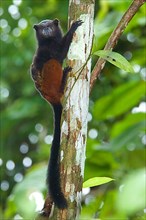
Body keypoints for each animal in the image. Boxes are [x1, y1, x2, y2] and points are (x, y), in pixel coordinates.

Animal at [30, 18, 82, 210]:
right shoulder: (48, 49)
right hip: (49, 80)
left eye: (49, 27)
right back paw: (64, 79)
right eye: (42, 28)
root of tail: (50, 98)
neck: (48, 41)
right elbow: (58, 55)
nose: (45, 31)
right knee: (52, 63)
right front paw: (72, 29)